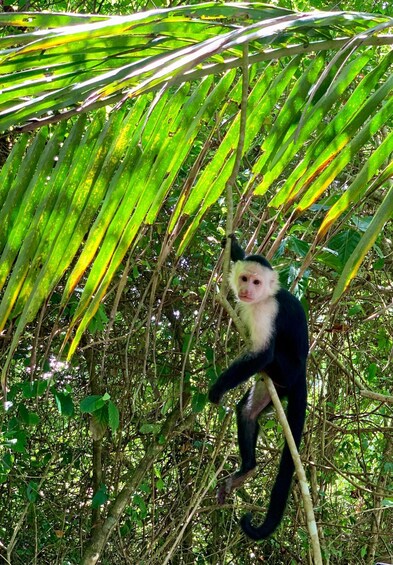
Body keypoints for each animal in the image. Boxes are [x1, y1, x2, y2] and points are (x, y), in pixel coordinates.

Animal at [207, 236, 308, 540]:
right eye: (244, 278)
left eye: (257, 282)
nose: (246, 289)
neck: (263, 298)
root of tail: (303, 373)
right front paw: (233, 245)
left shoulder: (267, 311)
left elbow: (263, 354)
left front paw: (217, 388)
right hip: (275, 387)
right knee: (248, 412)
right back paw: (247, 469)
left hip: (287, 371)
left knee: (271, 356)